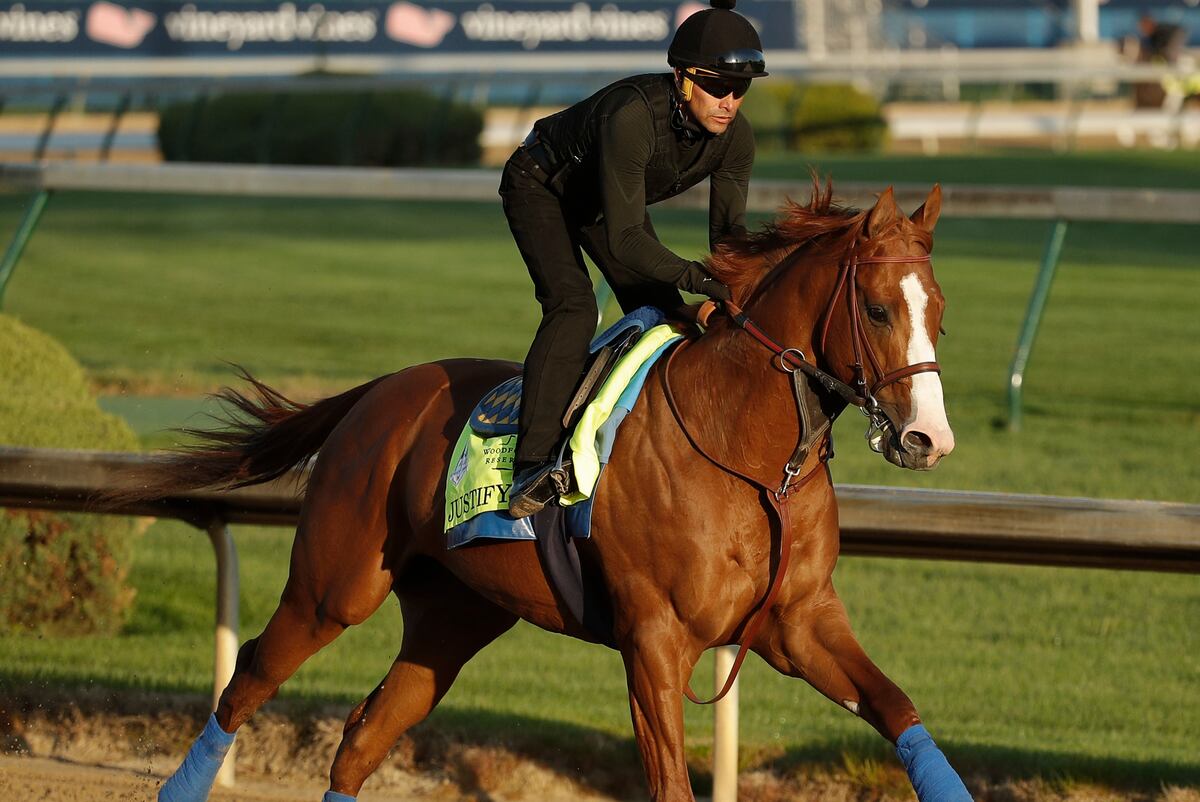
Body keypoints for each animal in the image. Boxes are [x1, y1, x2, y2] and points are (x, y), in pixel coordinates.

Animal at [128, 181, 971, 802]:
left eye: (940, 311)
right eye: (877, 309)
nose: (929, 440)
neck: (749, 460)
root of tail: (377, 393)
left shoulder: (797, 622)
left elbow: (898, 708)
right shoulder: (655, 639)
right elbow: (669, 785)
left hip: (453, 617)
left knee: (365, 734)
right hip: (334, 587)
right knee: (247, 682)